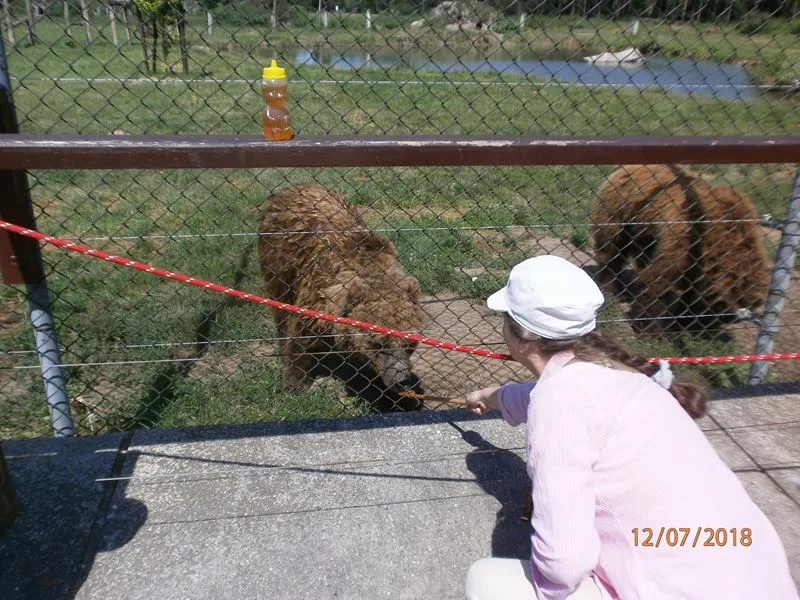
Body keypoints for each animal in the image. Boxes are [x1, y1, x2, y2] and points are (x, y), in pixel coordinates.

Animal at [260, 183, 428, 412]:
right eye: (379, 343)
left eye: (410, 343)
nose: (402, 379)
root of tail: (294, 187)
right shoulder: (315, 294)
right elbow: (300, 337)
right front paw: (295, 384)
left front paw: (399, 398)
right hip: (280, 261)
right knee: (280, 306)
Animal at [592, 164, 772, 338]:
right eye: (720, 311)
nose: (707, 330)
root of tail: (628, 168)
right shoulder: (685, 240)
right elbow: (658, 282)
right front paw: (652, 330)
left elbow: (690, 292)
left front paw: (682, 321)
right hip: (622, 209)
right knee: (613, 248)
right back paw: (609, 286)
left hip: (645, 231)